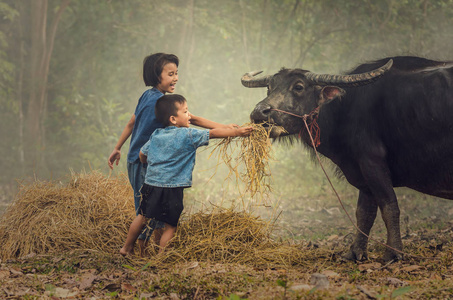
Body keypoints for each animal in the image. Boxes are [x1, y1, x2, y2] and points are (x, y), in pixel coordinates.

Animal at [242, 56, 452, 262]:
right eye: (270, 87)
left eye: (298, 87)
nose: (259, 112)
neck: (345, 108)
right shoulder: (362, 172)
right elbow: (364, 213)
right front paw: (354, 253)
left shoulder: (372, 163)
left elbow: (389, 206)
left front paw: (393, 253)